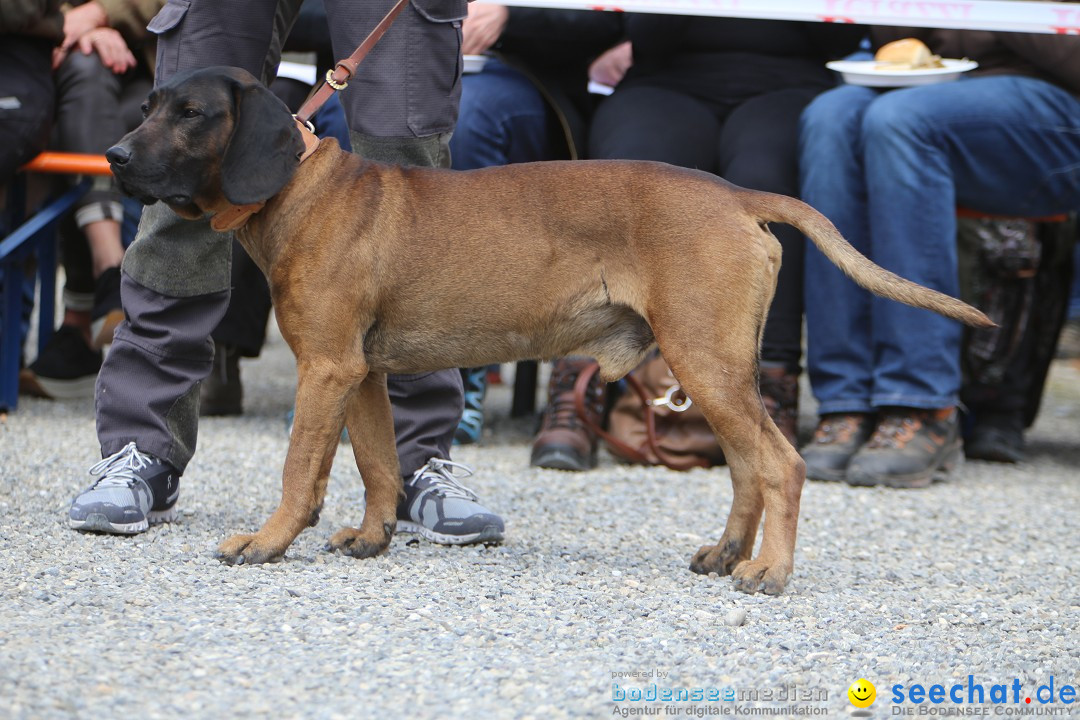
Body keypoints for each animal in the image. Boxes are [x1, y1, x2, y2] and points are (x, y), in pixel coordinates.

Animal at [105, 69, 989, 595]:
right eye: (146, 107)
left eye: (192, 115)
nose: (112, 156)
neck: (299, 189)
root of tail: (736, 195)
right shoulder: (360, 374)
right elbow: (380, 466)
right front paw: (372, 537)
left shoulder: (325, 370)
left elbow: (300, 472)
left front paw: (268, 541)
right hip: (715, 371)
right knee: (749, 469)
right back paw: (728, 554)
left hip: (708, 364)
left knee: (784, 466)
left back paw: (769, 569)